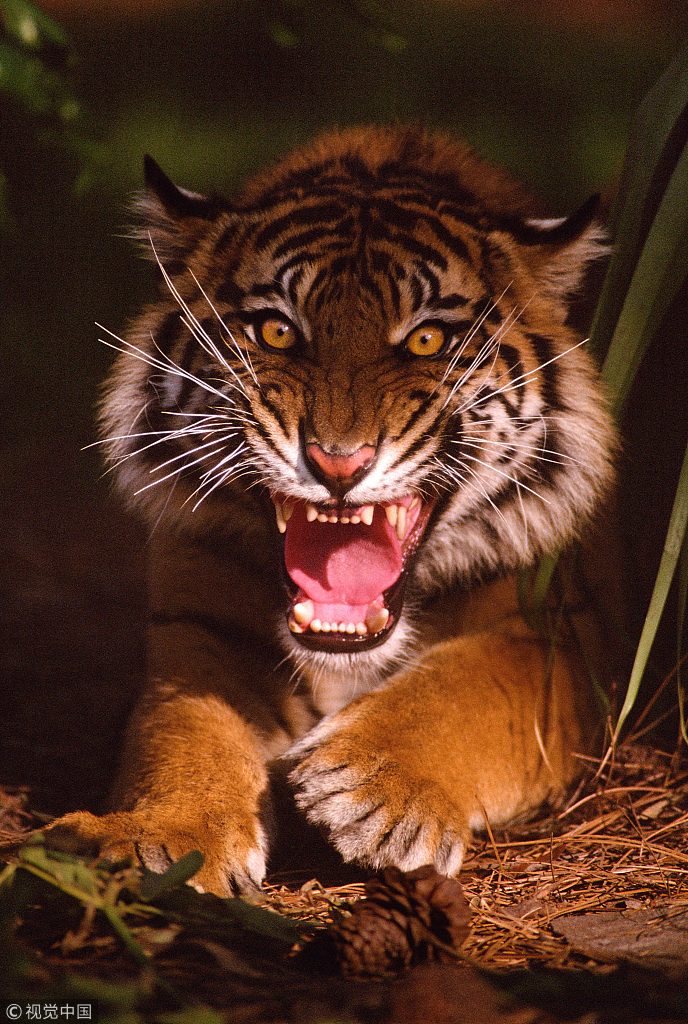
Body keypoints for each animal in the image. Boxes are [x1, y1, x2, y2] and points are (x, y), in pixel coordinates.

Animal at [44, 124, 617, 895]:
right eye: (277, 333)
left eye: (427, 340)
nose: (338, 462)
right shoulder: (196, 632)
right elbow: (184, 731)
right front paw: (160, 839)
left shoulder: (555, 636)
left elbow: (468, 687)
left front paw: (373, 792)